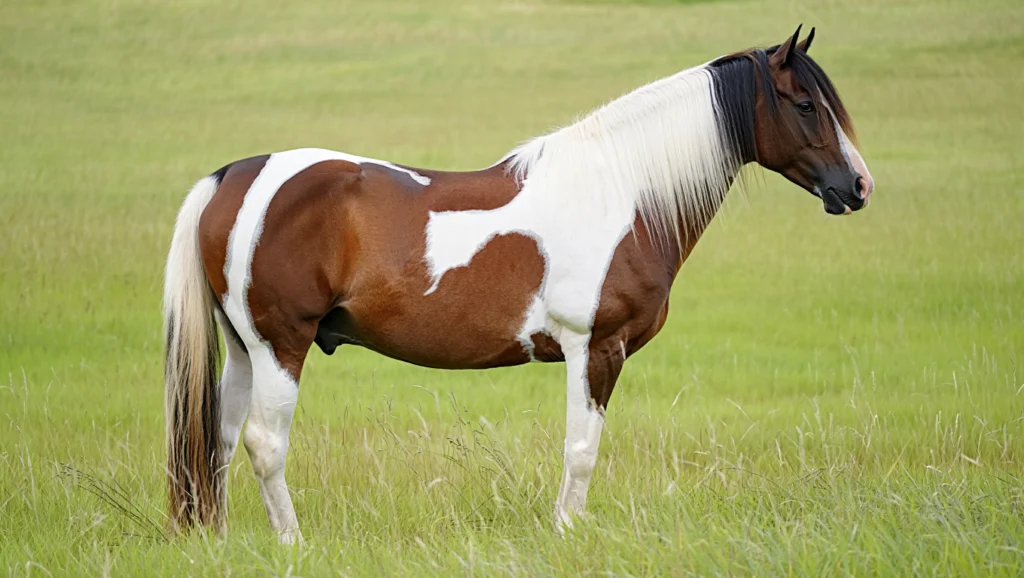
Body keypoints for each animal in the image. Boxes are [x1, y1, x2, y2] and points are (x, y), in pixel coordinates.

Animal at [163, 26, 874, 543]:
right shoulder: (597, 348)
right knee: (263, 442)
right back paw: (292, 542)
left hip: (244, 350)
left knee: (219, 438)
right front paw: (568, 534)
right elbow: (582, 448)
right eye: (806, 105)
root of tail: (233, 177)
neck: (621, 193)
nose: (859, 187)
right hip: (281, 345)